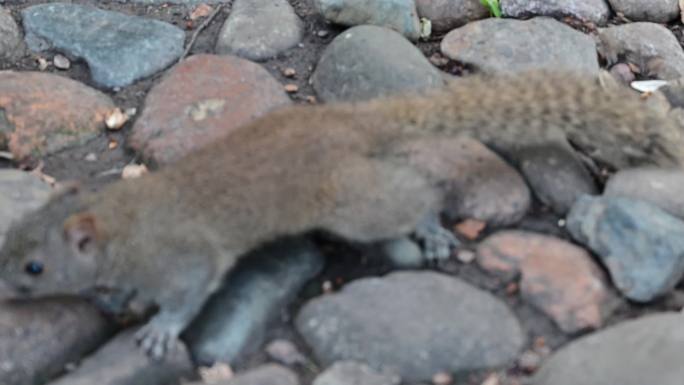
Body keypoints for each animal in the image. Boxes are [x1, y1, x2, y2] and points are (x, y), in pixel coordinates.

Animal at [0, 70, 680, 358]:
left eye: (34, 268)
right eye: (9, 240)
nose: (3, 291)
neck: (122, 221)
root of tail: (355, 121)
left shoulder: (182, 259)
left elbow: (189, 294)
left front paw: (161, 328)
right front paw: (118, 299)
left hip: (353, 203)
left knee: (417, 191)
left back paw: (428, 225)